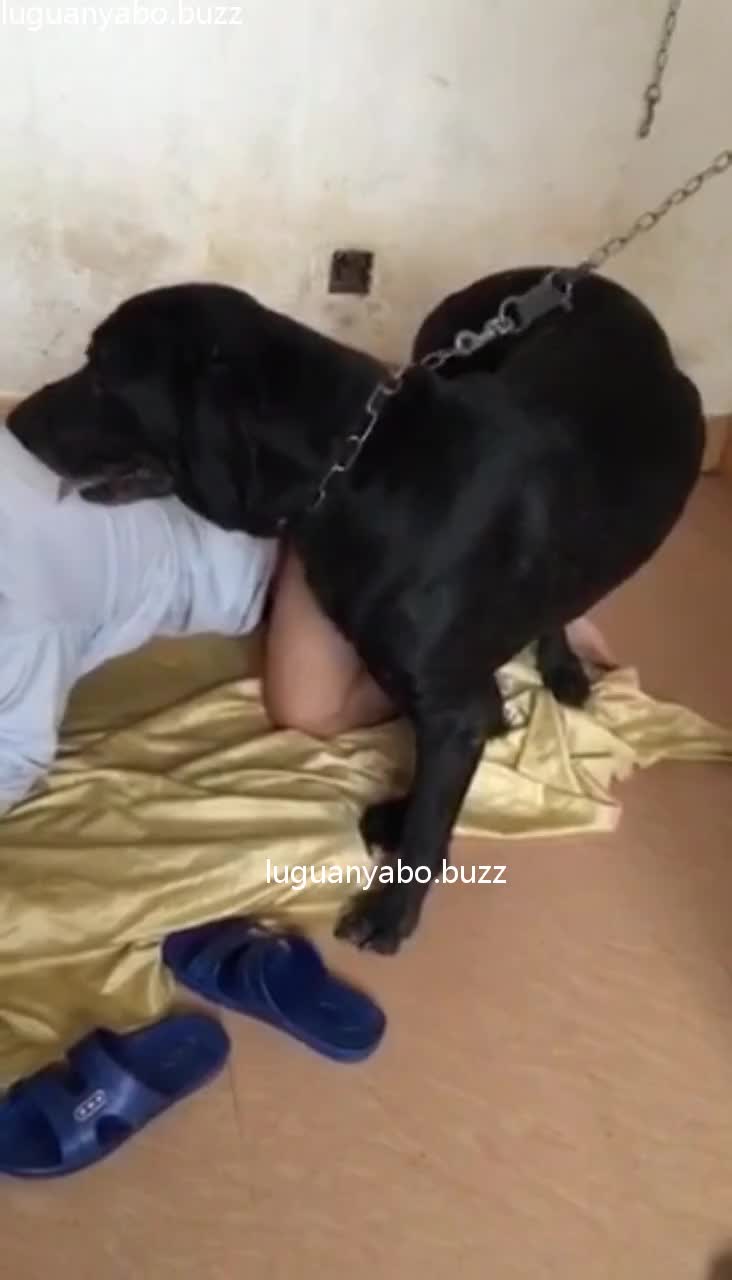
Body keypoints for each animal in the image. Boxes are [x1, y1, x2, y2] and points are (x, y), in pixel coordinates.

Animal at [7, 268, 704, 953]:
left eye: (102, 374)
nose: (15, 421)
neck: (356, 467)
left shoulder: (448, 703)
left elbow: (431, 813)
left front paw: (392, 909)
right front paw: (406, 806)